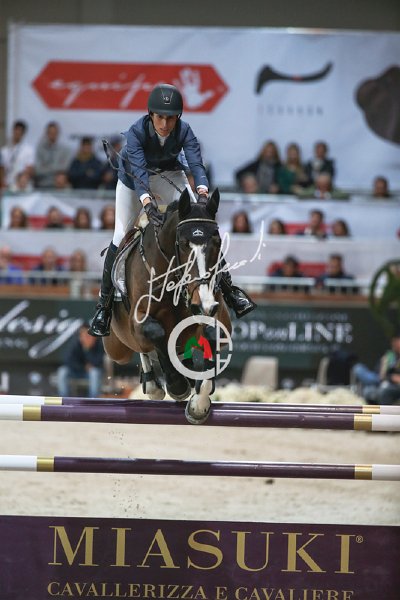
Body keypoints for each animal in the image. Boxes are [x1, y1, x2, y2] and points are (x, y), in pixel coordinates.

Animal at [103, 187, 232, 424]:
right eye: (182, 243)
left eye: (218, 242)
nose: (203, 303)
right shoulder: (138, 320)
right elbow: (156, 333)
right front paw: (177, 386)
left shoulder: (219, 316)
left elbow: (212, 334)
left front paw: (199, 403)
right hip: (117, 347)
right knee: (143, 350)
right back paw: (154, 383)